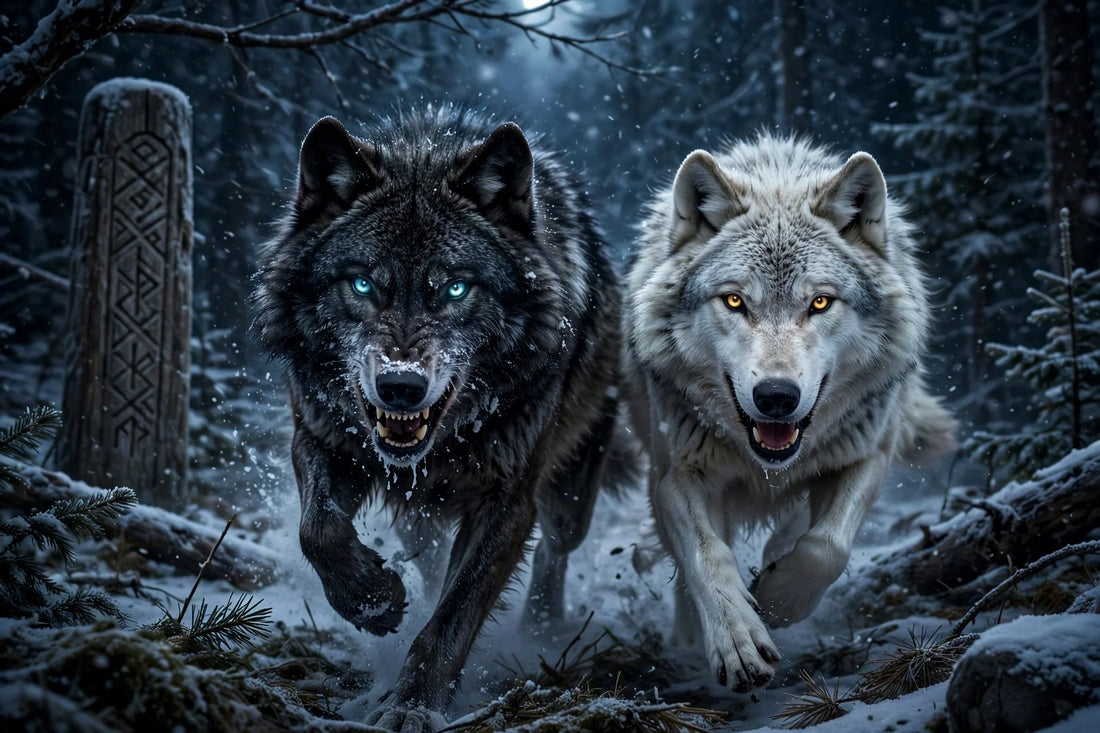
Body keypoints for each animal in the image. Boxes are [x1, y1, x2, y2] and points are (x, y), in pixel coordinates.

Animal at [254, 108, 623, 731]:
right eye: (362, 283)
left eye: (455, 288)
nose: (401, 386)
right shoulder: (320, 439)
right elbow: (319, 530)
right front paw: (373, 598)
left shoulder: (508, 499)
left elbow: (453, 615)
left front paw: (412, 705)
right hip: (416, 512)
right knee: (425, 556)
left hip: (570, 491)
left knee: (554, 549)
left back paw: (543, 628)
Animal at [624, 134, 957, 692]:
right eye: (734, 301)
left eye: (820, 303)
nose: (776, 396)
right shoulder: (675, 474)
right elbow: (708, 557)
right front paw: (737, 640)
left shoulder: (868, 454)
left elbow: (826, 547)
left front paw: (779, 601)